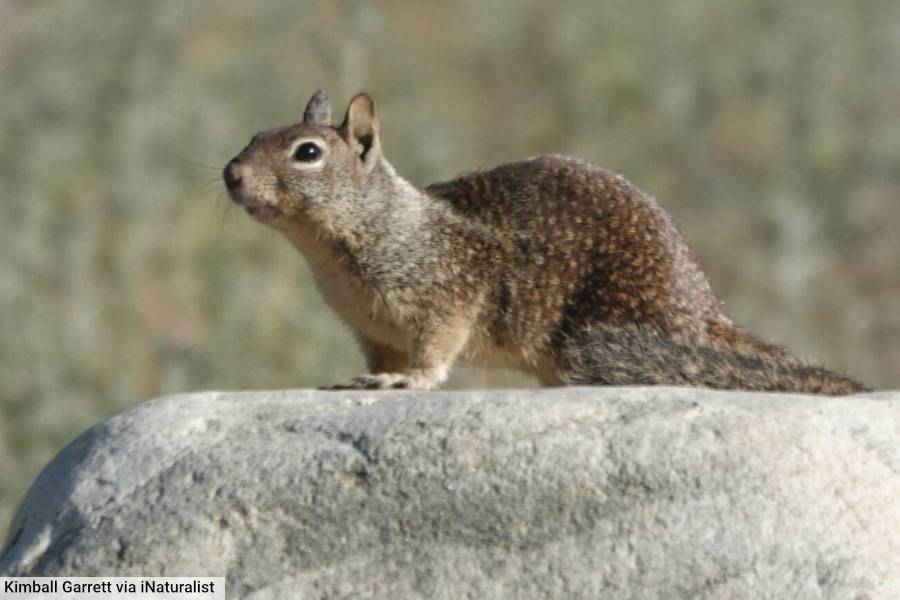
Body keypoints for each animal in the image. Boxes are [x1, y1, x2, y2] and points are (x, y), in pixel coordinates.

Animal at [221, 89, 868, 394]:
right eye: (253, 134)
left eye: (307, 152)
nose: (231, 174)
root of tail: (709, 317)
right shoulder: (370, 331)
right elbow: (377, 358)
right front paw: (364, 379)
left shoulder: (446, 298)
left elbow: (434, 353)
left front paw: (406, 381)